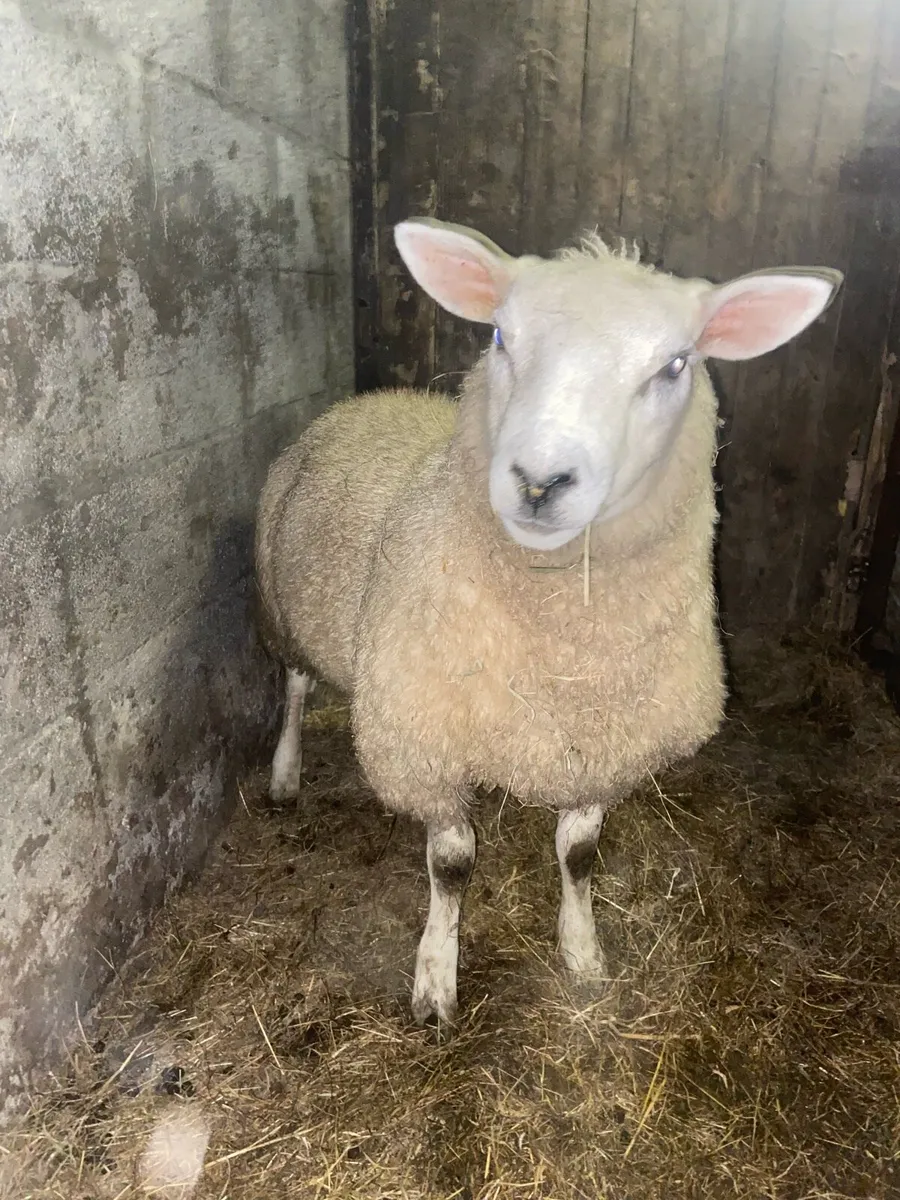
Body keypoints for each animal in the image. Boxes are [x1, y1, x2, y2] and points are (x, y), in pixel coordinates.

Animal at [255, 217, 842, 1024]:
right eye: (501, 335)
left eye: (676, 364)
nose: (538, 483)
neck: (565, 651)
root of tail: (370, 398)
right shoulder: (429, 741)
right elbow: (452, 865)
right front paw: (435, 981)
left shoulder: (605, 744)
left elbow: (579, 857)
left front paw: (584, 954)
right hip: (281, 607)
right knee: (293, 689)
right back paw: (284, 773)